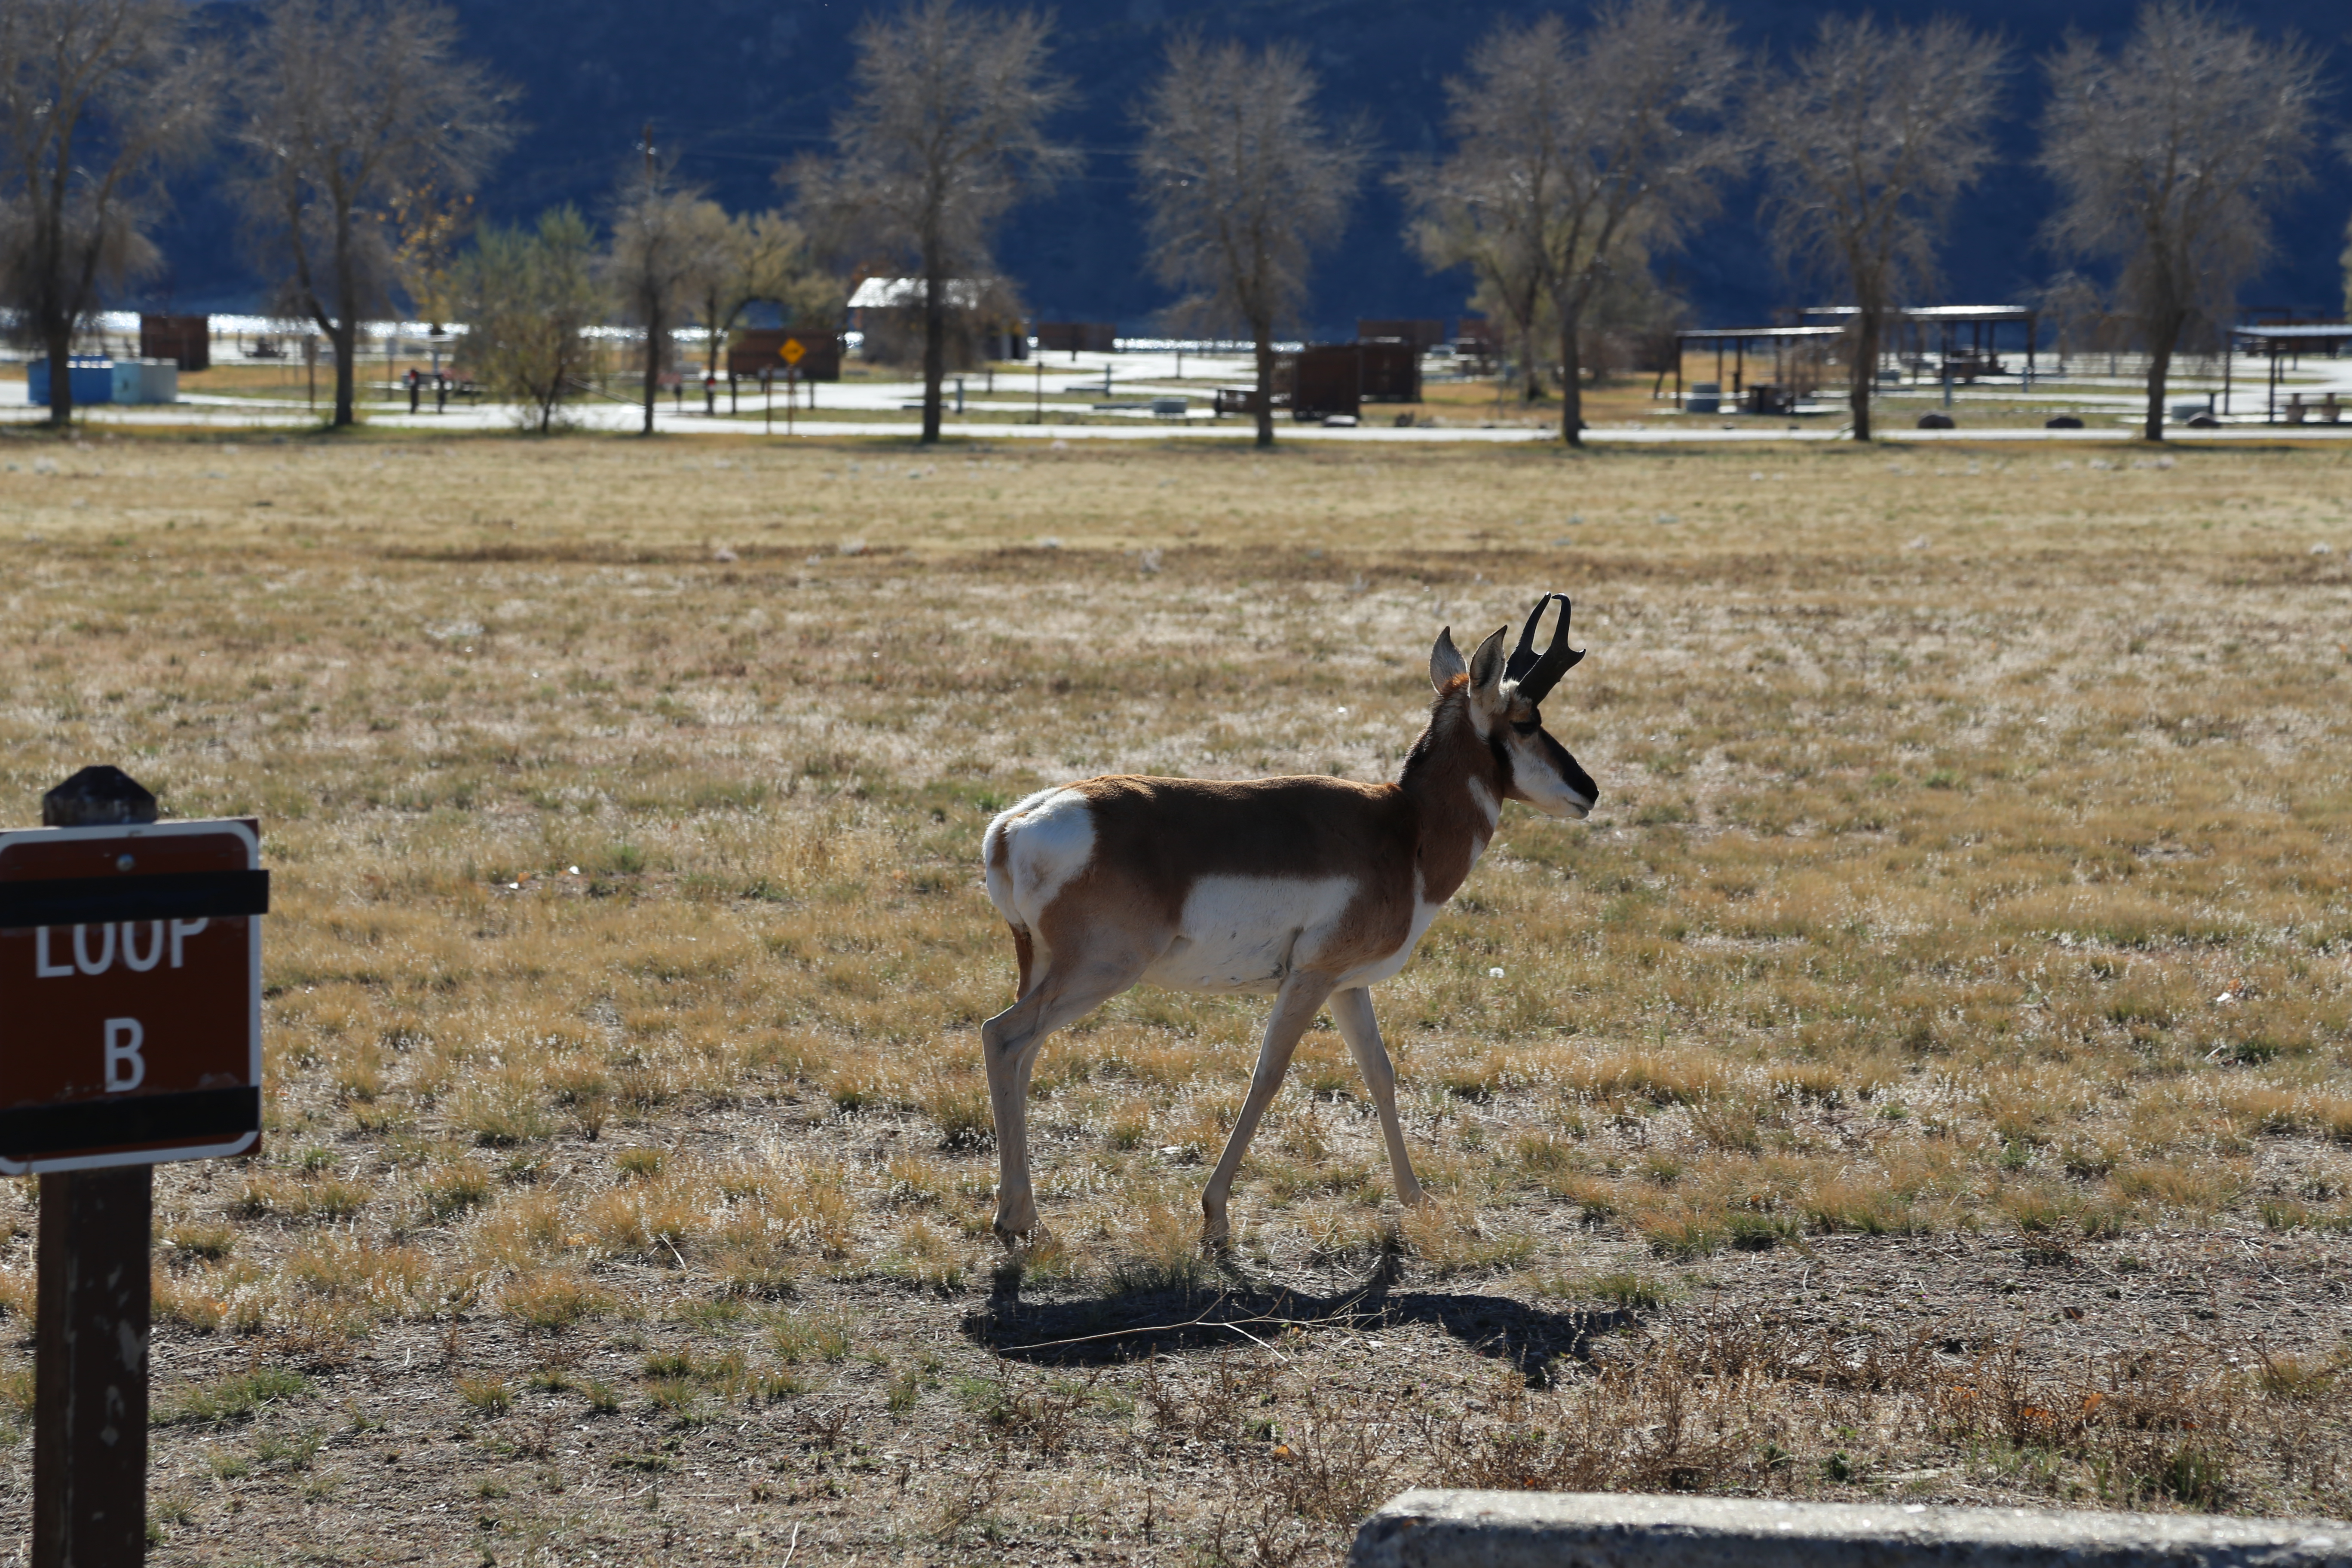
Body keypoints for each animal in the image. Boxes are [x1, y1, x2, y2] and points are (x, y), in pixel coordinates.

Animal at [974, 594, 1599, 1241]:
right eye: (1526, 720)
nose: (1590, 791)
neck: (1408, 829)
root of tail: (1014, 824)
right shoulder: (1310, 979)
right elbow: (1268, 1076)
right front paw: (1216, 1215)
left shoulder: (1347, 986)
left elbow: (1380, 1072)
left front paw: (1417, 1199)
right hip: (1099, 974)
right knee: (1002, 1037)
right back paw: (1020, 1219)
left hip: (1047, 971)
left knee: (1024, 1055)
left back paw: (1014, 1213)